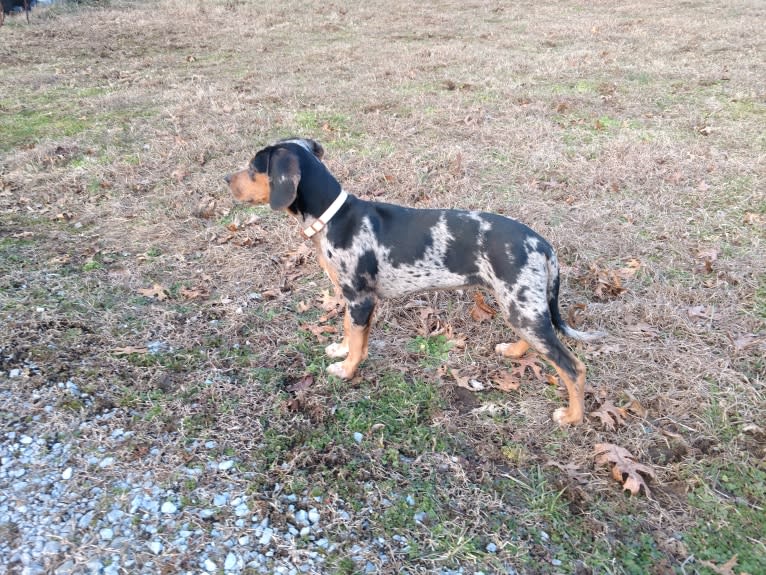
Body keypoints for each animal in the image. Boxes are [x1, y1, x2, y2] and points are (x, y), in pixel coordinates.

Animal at [226, 137, 608, 426]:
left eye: (254, 167)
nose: (227, 180)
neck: (333, 219)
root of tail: (543, 244)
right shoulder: (352, 299)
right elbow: (349, 331)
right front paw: (341, 349)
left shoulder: (361, 299)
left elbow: (358, 341)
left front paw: (347, 370)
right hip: (519, 305)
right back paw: (514, 351)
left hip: (522, 306)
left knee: (572, 367)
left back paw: (572, 417)